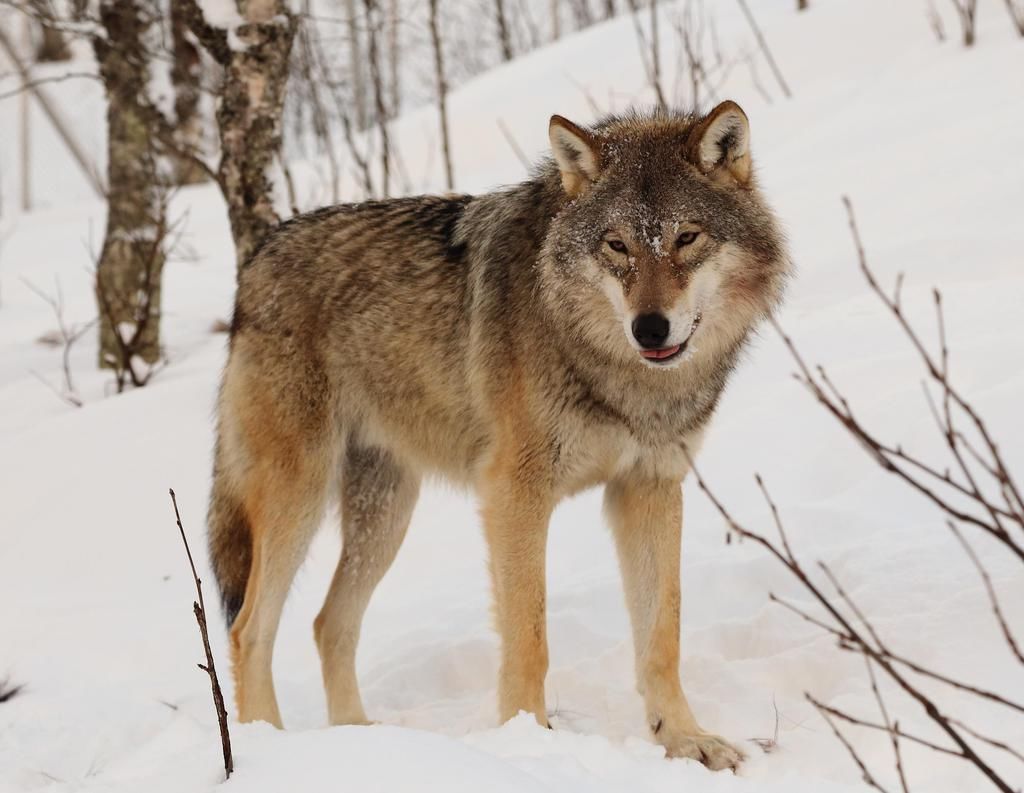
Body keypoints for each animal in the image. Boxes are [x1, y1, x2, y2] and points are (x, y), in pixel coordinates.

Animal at [209, 99, 790, 770]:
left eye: (686, 238)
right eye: (617, 246)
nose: (649, 328)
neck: (617, 374)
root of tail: (256, 260)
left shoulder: (648, 488)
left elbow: (661, 635)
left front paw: (684, 739)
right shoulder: (515, 494)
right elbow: (529, 637)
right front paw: (528, 742)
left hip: (386, 514)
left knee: (329, 624)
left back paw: (363, 742)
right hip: (299, 500)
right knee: (249, 628)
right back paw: (268, 747)